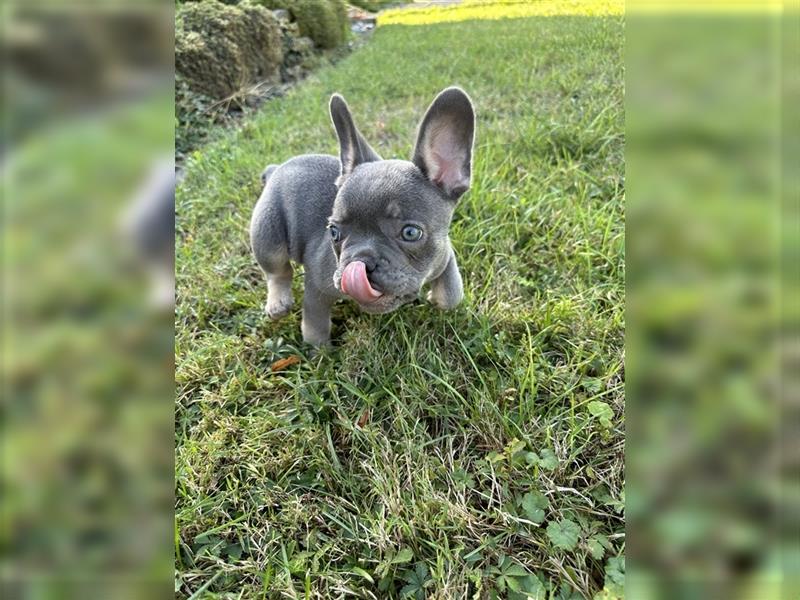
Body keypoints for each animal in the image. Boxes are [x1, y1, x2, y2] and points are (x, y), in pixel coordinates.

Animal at [250, 86, 476, 344]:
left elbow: (452, 294)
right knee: (277, 270)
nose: (360, 261)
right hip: (268, 230)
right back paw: (278, 303)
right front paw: (320, 351)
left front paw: (438, 299)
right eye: (334, 232)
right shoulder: (317, 287)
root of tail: (276, 169)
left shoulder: (444, 253)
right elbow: (315, 325)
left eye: (411, 233)